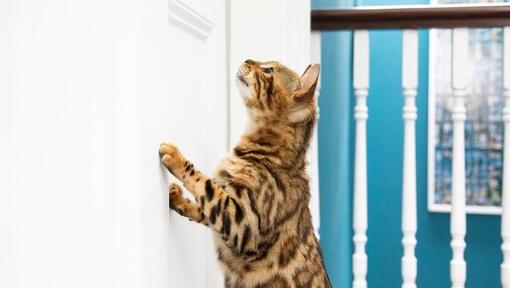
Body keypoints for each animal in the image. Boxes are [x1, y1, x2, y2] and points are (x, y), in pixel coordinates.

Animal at [159, 59, 332, 286]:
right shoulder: (228, 199)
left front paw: (176, 158)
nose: (247, 60)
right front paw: (178, 199)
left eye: (268, 70)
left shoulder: (242, 221)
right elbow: (204, 205)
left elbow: (205, 184)